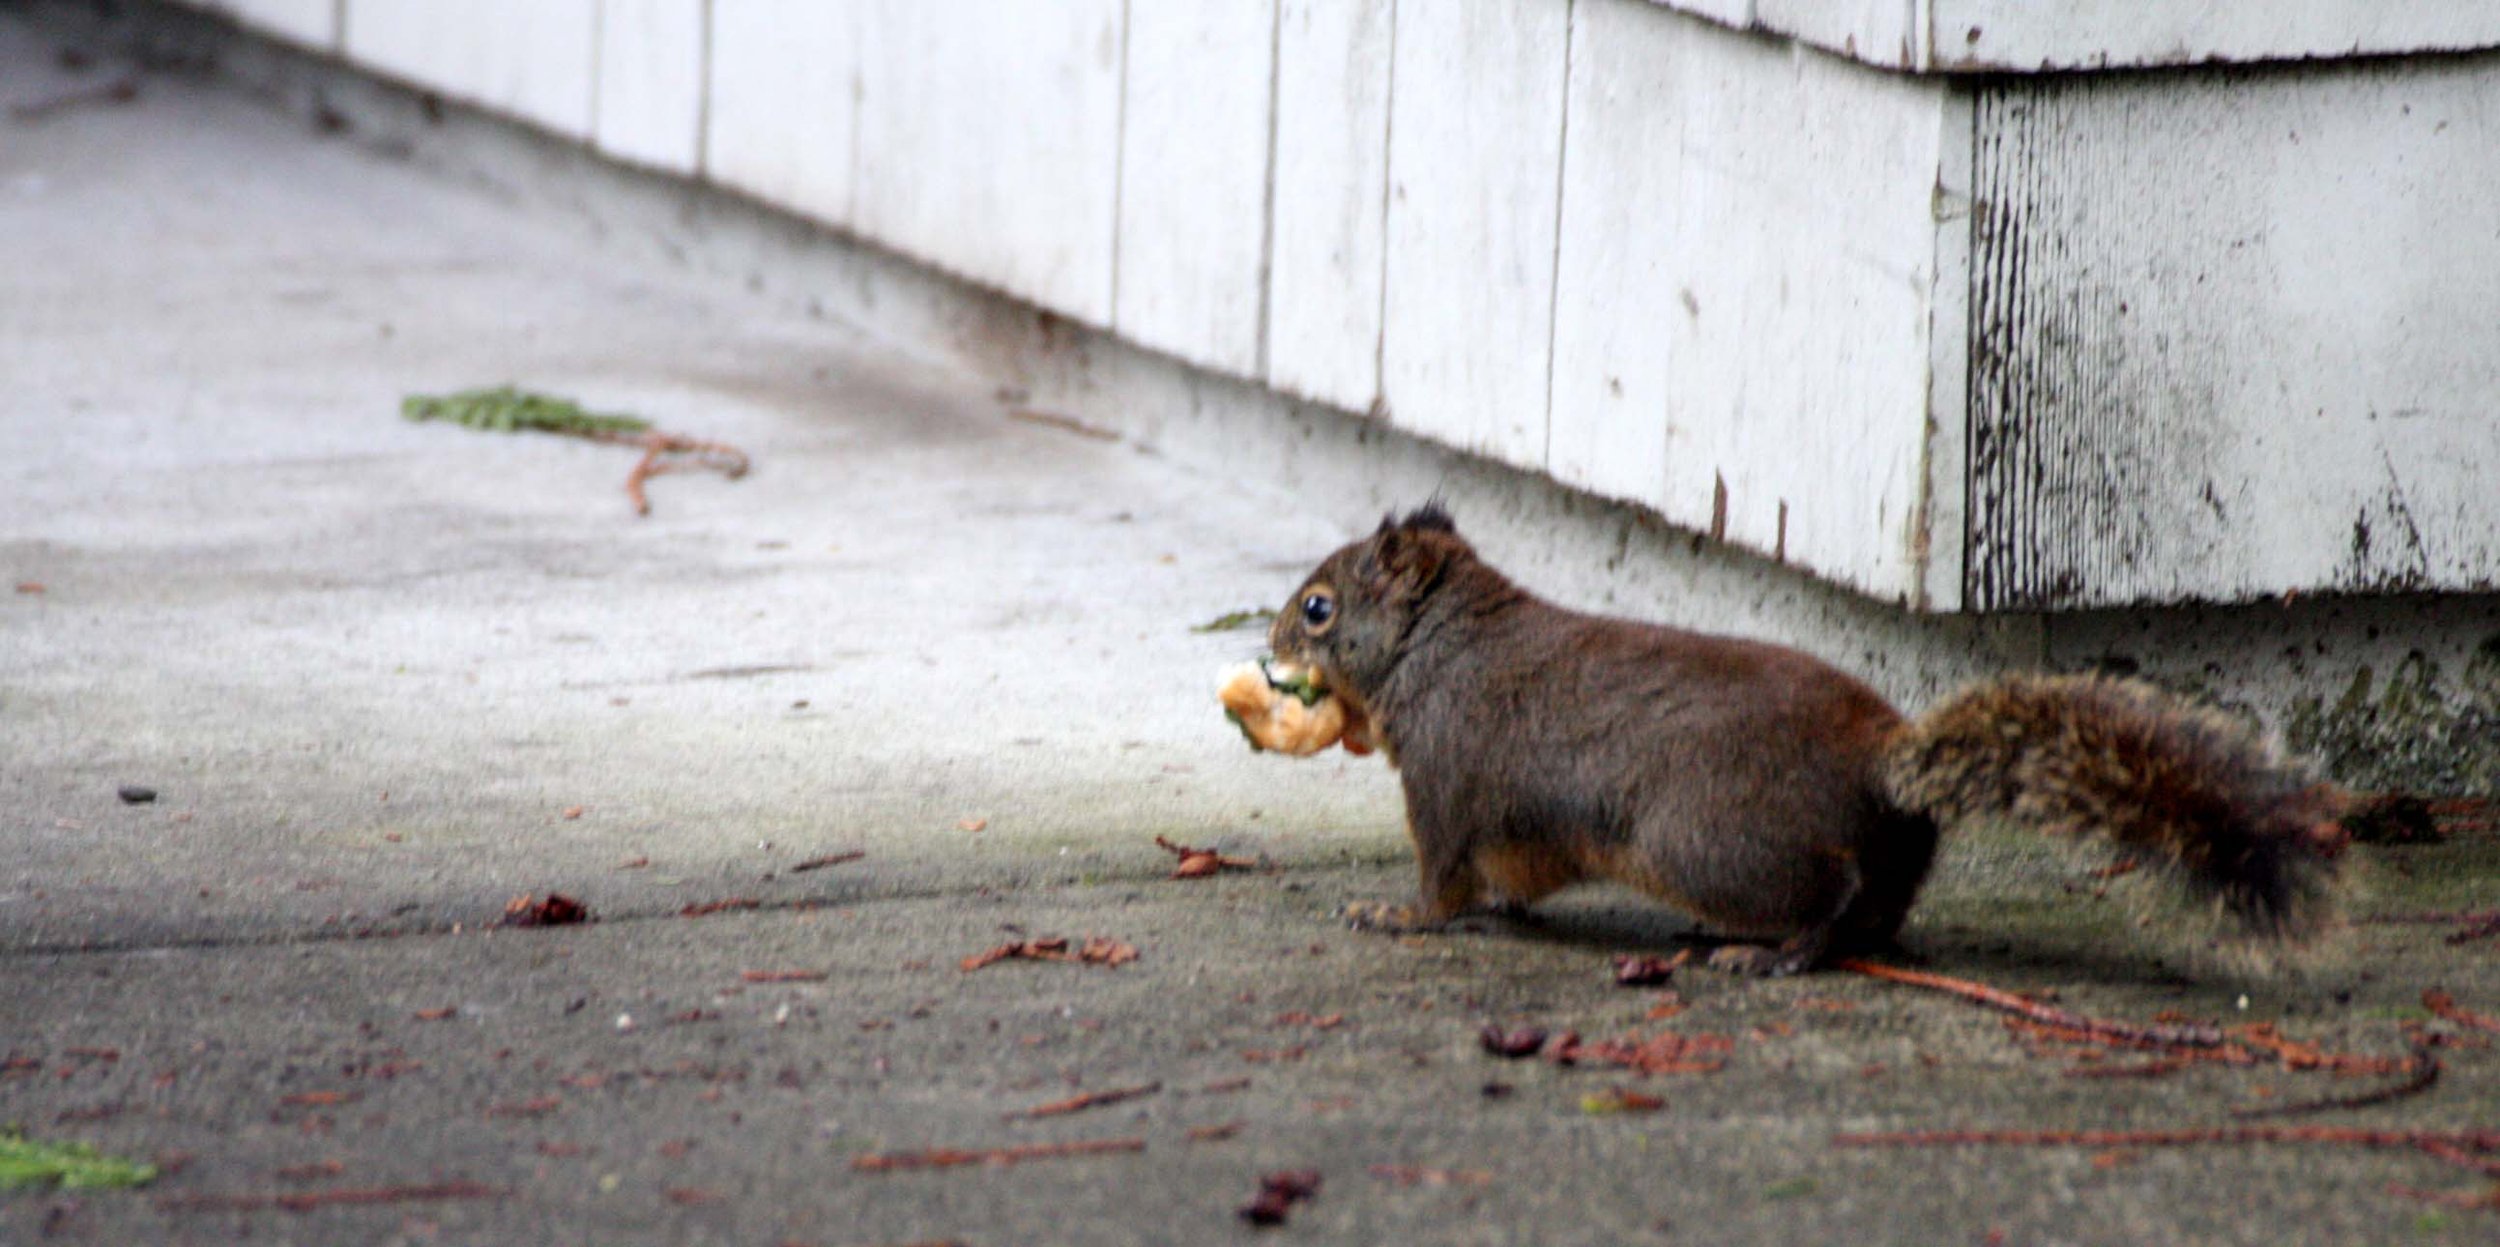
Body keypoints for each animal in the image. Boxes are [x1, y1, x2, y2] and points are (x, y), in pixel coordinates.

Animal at [1258, 504, 2353, 975]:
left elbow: (1441, 877)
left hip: (1701, 839)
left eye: (1317, 607)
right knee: (1879, 907)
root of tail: (1885, 762)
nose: (1268, 645)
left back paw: (1771, 952)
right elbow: (1504, 881)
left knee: (1826, 897)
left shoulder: (1446, 780)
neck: (1438, 646)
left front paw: (1391, 915)